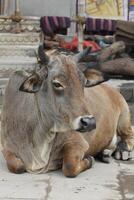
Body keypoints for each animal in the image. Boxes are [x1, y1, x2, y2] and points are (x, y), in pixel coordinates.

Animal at [0, 46, 133, 177]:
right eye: (57, 84)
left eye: (84, 82)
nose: (89, 122)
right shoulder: (6, 147)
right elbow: (17, 166)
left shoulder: (78, 142)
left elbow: (69, 167)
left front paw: (89, 159)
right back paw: (104, 153)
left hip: (124, 115)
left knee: (128, 135)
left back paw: (122, 151)